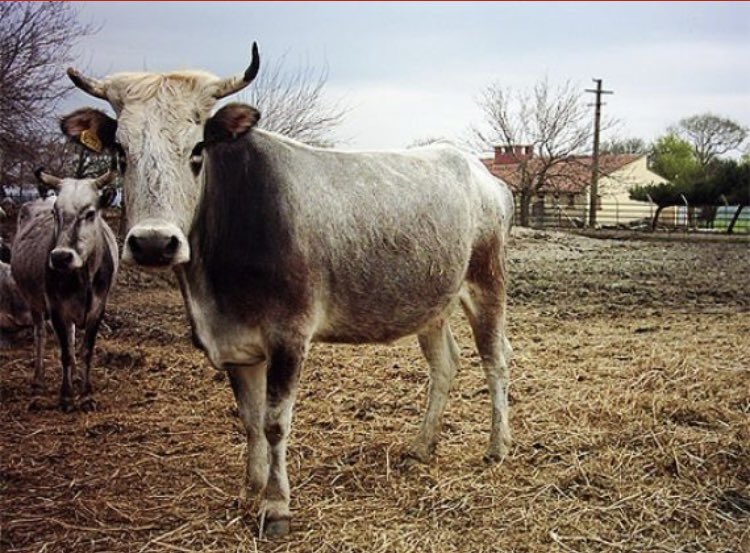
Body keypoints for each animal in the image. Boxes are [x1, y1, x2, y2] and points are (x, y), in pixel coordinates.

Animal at [10, 171, 119, 410]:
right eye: (55, 213)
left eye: (90, 213)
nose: (61, 257)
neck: (82, 277)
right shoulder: (56, 308)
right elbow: (66, 353)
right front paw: (66, 395)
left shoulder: (98, 307)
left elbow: (85, 349)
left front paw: (86, 393)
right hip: (34, 302)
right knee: (40, 334)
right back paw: (38, 379)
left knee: (71, 335)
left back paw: (76, 376)